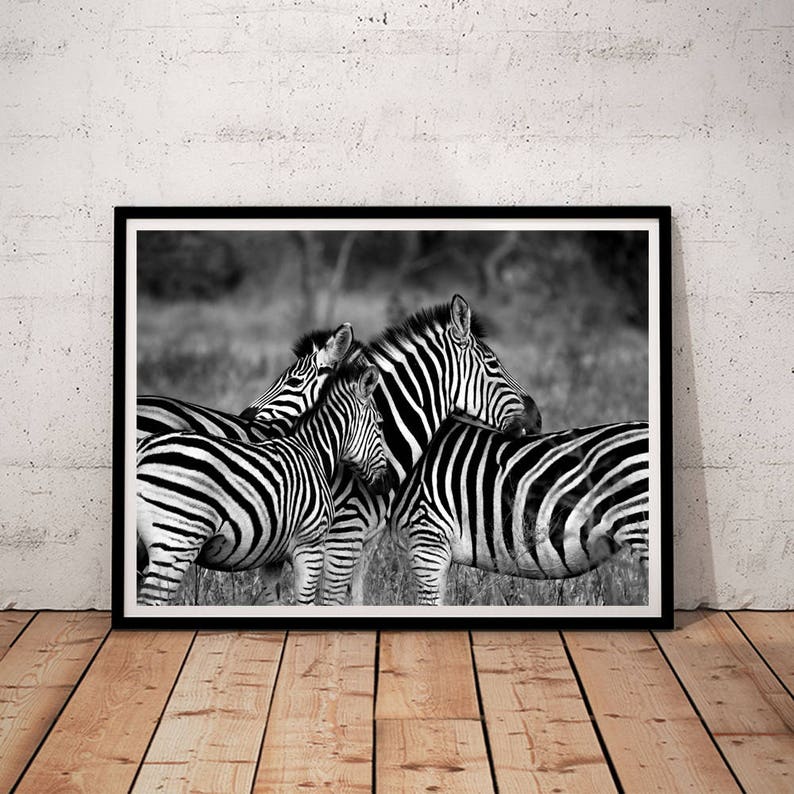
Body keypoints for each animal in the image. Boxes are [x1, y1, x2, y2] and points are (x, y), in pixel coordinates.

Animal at [136, 355, 390, 606]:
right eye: (379, 424)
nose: (386, 483)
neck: (313, 451)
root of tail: (142, 451)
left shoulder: (272, 555)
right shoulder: (310, 545)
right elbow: (306, 602)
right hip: (176, 542)